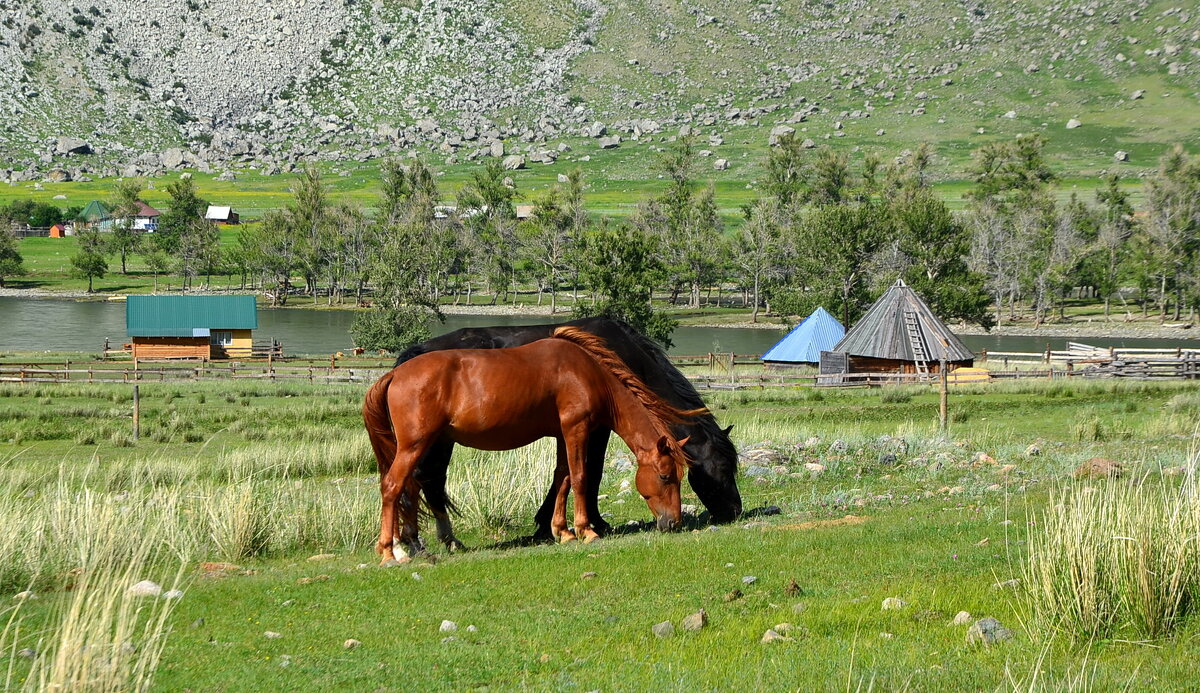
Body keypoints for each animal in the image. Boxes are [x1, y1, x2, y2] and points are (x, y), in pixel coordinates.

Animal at [360, 326, 700, 561]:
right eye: (665, 476)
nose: (673, 523)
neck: (586, 372)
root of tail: (394, 375)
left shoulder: (563, 435)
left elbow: (562, 478)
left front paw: (562, 531)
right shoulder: (576, 429)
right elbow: (580, 477)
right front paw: (586, 530)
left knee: (410, 487)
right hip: (415, 446)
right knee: (394, 487)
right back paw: (392, 551)